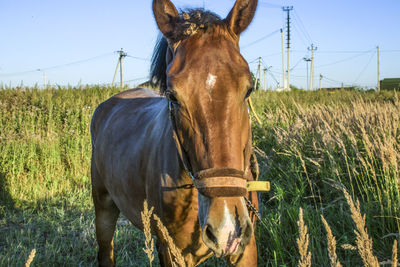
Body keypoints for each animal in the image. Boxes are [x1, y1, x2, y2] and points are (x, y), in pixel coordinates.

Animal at [90, 0, 260, 266]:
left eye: (249, 89)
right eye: (172, 96)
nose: (226, 229)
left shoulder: (245, 249)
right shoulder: (172, 253)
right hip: (103, 209)